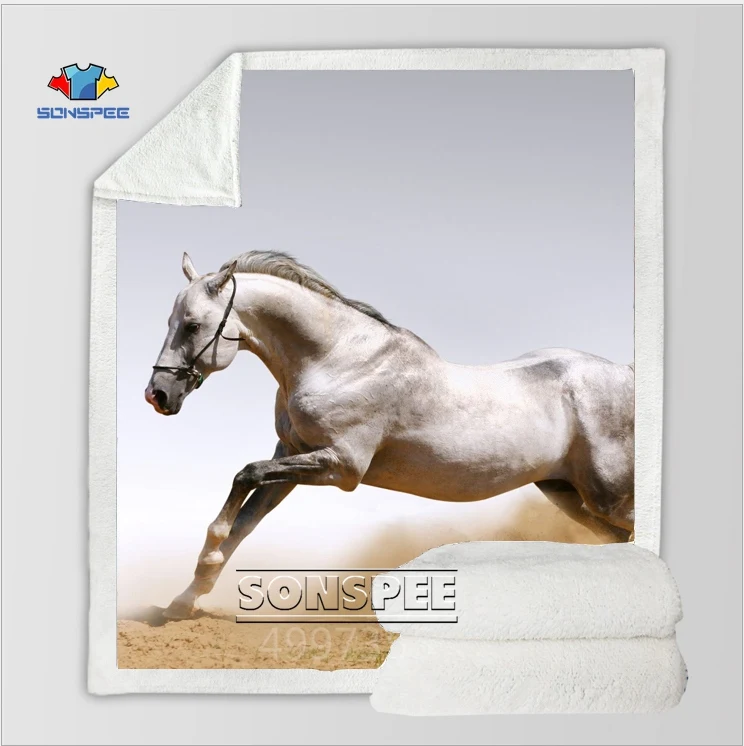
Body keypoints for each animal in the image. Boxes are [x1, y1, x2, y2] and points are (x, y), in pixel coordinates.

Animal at [145, 251, 635, 619]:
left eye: (192, 324)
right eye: (170, 320)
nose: (157, 394)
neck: (336, 360)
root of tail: (626, 375)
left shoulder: (341, 466)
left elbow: (244, 476)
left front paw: (203, 563)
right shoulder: (292, 456)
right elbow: (245, 520)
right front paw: (183, 601)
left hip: (608, 495)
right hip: (567, 493)